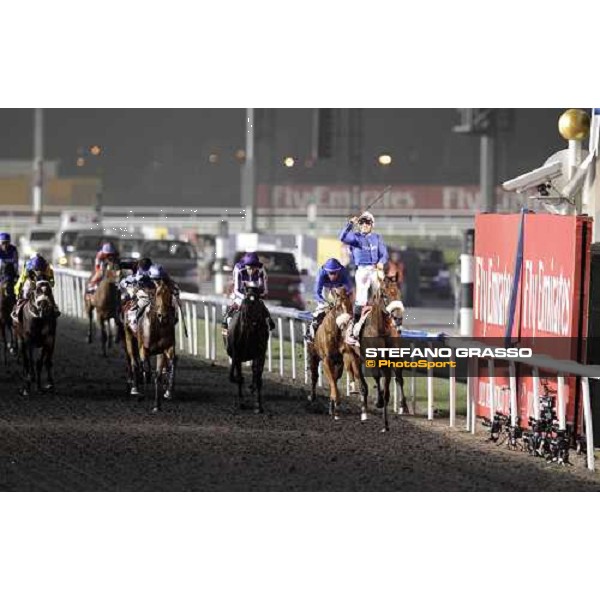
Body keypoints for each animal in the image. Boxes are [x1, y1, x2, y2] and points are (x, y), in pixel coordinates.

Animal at [226, 284, 268, 414]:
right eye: (245, 303)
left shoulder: (260, 354)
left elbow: (258, 378)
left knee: (255, 373)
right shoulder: (237, 355)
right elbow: (238, 377)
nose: (252, 324)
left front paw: (258, 405)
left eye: (258, 304)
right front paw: (242, 403)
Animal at [308, 288, 354, 420]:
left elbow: (334, 379)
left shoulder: (339, 361)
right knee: (314, 376)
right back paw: (312, 397)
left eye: (350, 305)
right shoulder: (326, 360)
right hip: (313, 356)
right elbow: (332, 380)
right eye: (338, 306)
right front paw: (335, 400)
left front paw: (333, 406)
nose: (346, 323)